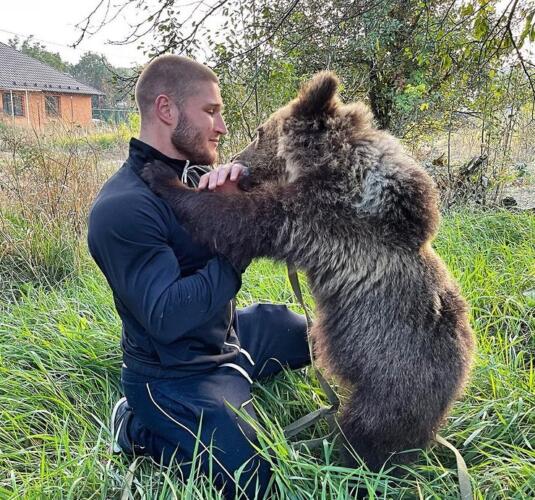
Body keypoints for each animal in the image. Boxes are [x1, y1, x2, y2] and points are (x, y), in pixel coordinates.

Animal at [140, 70, 476, 472]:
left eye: (259, 131)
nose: (235, 157)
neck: (334, 167)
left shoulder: (319, 218)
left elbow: (239, 219)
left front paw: (159, 173)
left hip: (392, 380)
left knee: (368, 432)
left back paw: (339, 456)